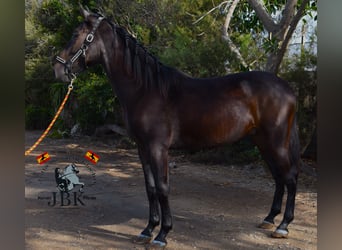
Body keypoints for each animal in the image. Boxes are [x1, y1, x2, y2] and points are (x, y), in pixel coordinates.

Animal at [53, 7, 300, 248]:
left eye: (76, 34)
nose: (56, 68)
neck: (146, 90)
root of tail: (287, 89)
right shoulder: (142, 148)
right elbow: (150, 188)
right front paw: (147, 231)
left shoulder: (158, 148)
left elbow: (163, 188)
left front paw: (162, 235)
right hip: (263, 142)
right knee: (279, 177)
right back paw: (269, 219)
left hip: (276, 142)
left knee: (290, 178)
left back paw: (283, 226)